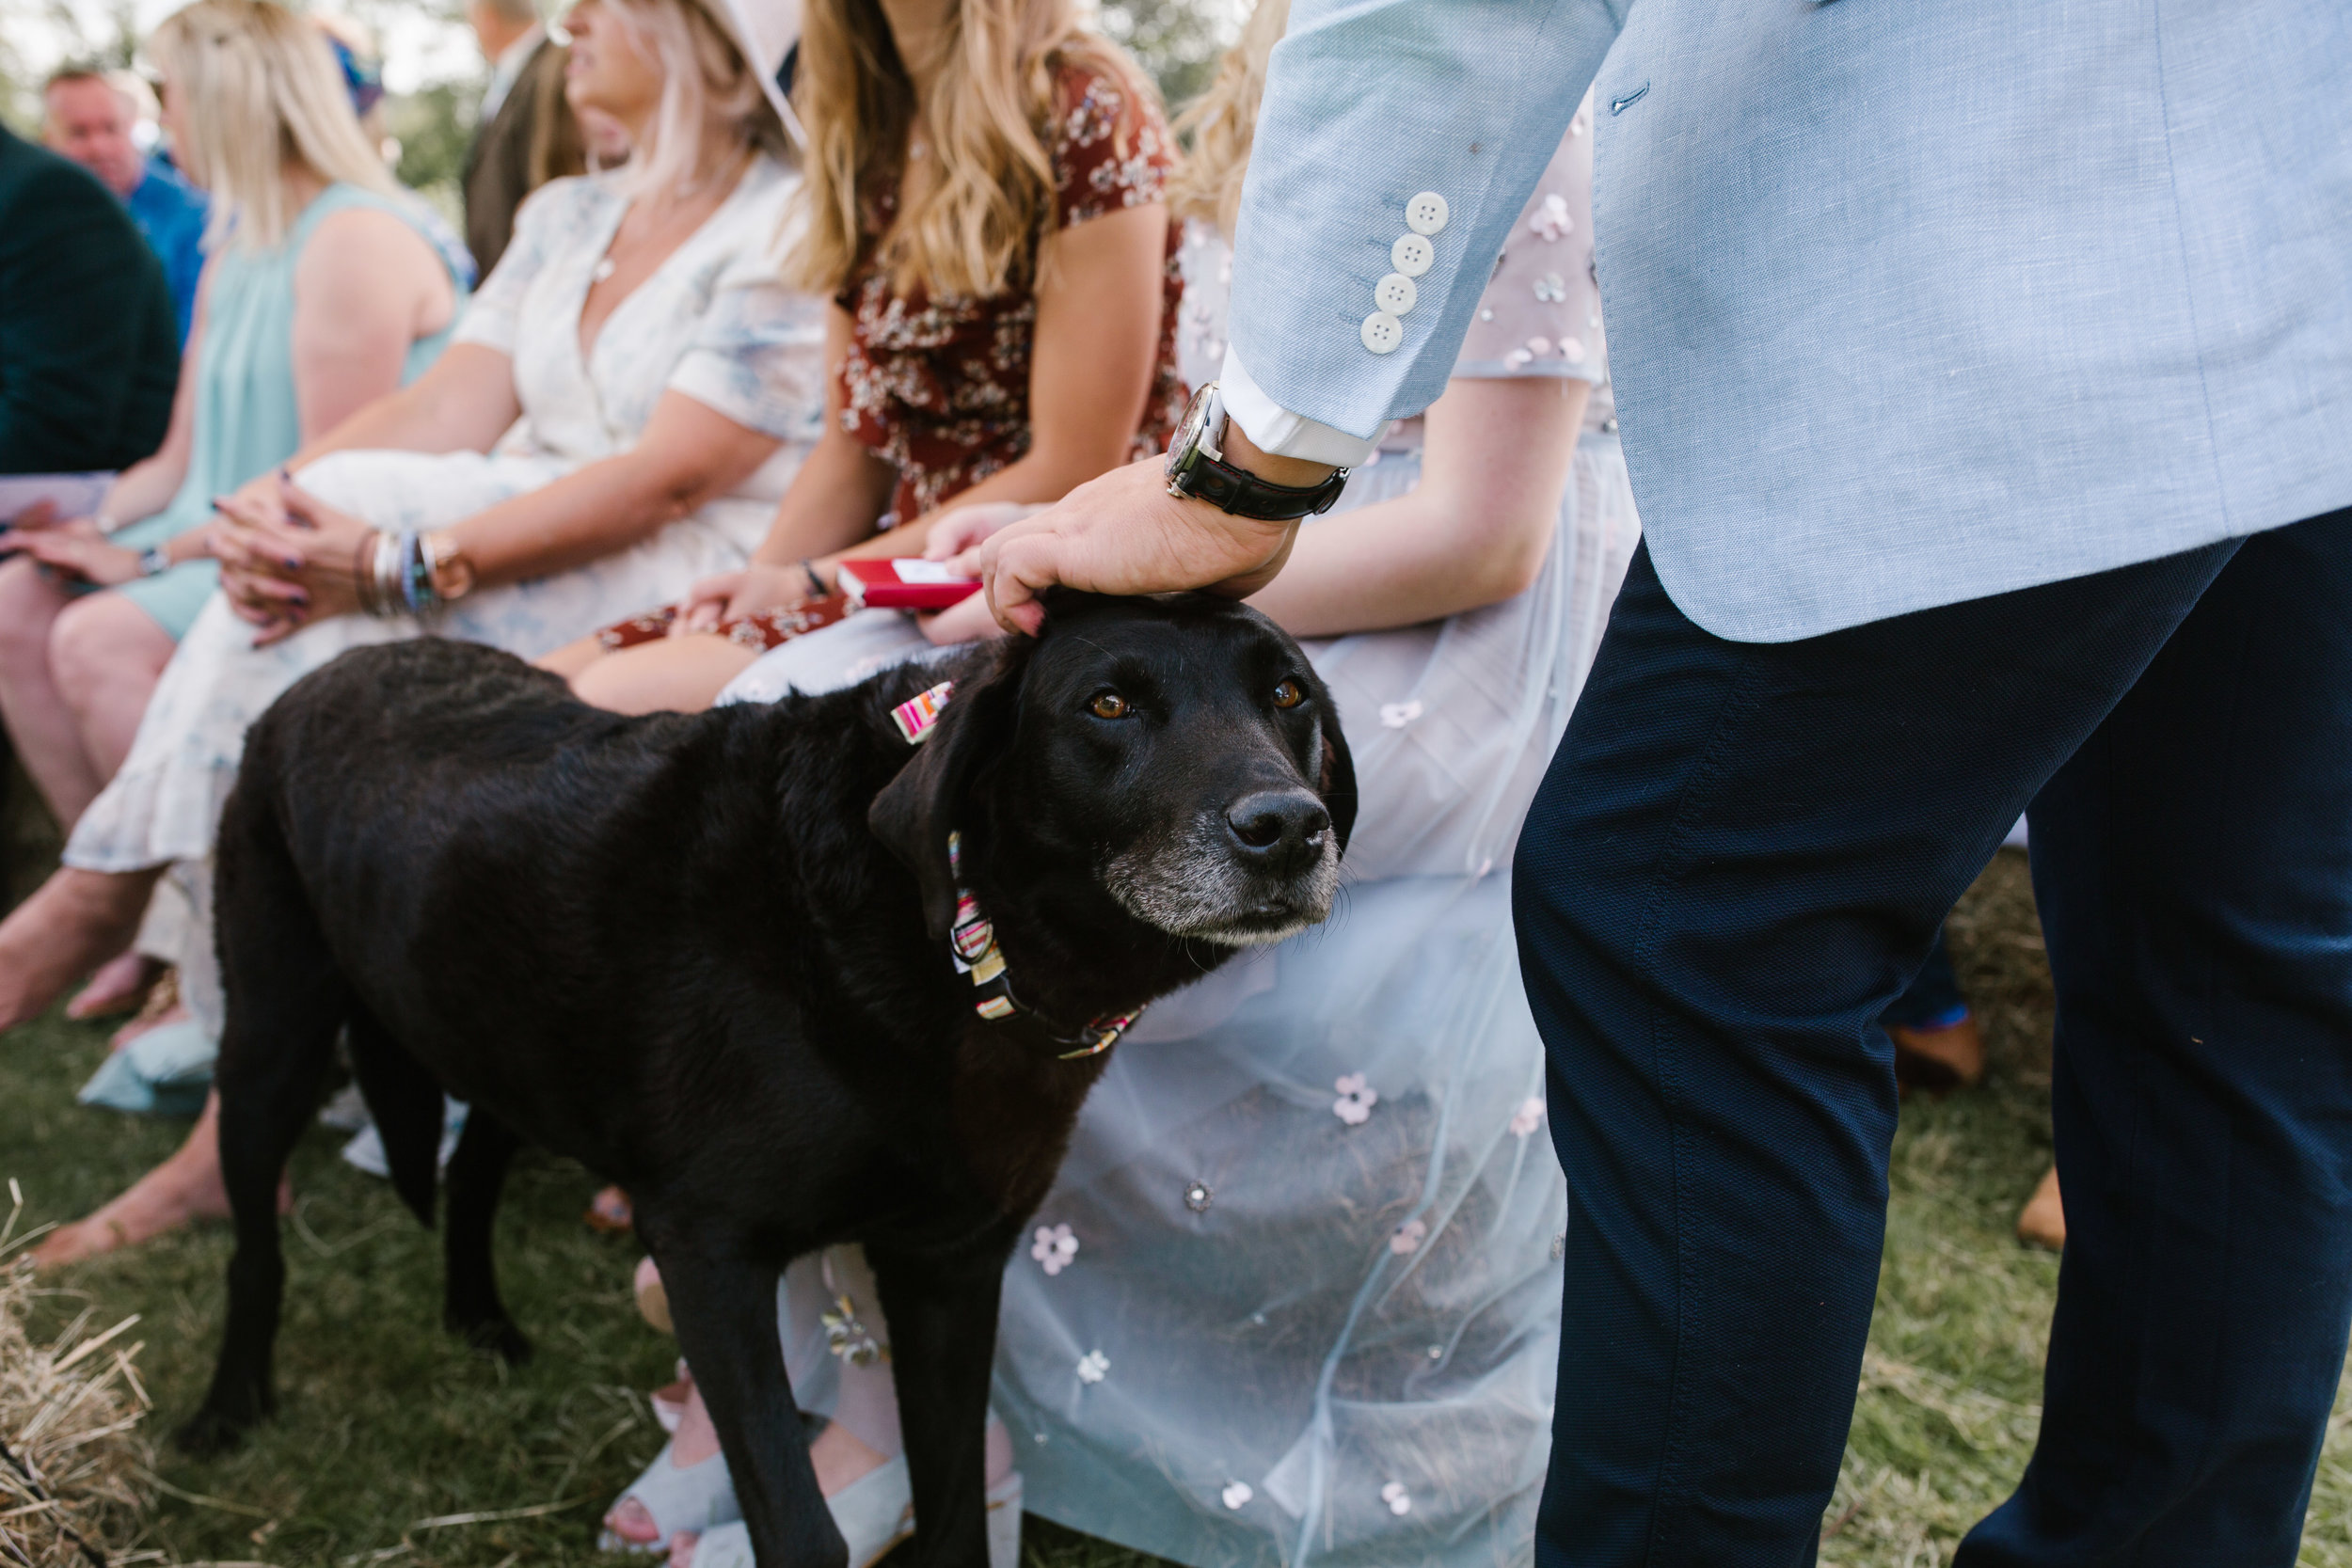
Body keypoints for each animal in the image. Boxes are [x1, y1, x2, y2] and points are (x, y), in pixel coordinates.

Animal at [185, 592, 1364, 1568]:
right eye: (1107, 702)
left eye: (1289, 694)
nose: (1287, 829)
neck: (941, 935)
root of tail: (342, 660)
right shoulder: (708, 1252)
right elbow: (801, 1530)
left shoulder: (948, 1265)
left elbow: (949, 1514)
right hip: (273, 1037)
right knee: (251, 1245)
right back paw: (226, 1409)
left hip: (508, 1032)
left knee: (472, 1165)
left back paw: (479, 1319)